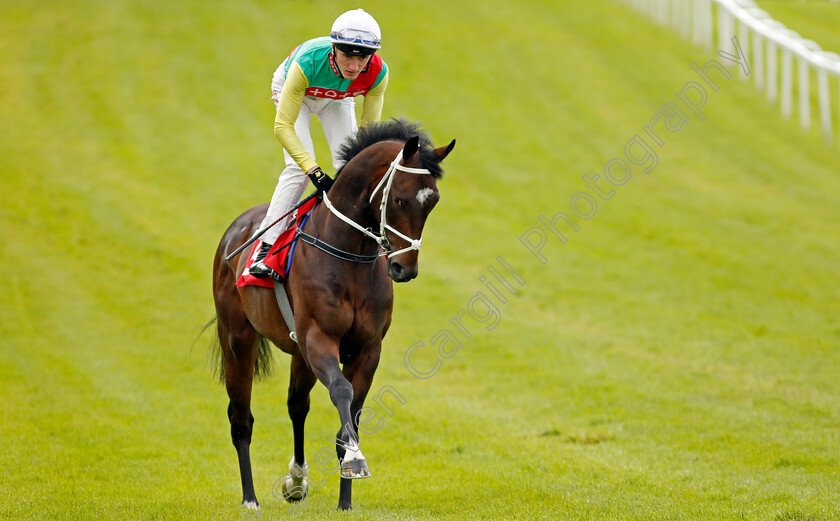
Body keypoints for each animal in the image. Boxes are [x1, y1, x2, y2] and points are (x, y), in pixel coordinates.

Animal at [213, 117, 456, 508]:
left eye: (432, 202)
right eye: (400, 199)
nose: (405, 269)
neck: (350, 254)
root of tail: (236, 229)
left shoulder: (367, 348)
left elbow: (352, 414)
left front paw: (345, 500)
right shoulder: (318, 337)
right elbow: (341, 390)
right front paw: (356, 460)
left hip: (298, 353)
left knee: (297, 404)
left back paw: (296, 480)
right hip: (238, 337)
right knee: (241, 416)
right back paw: (250, 498)